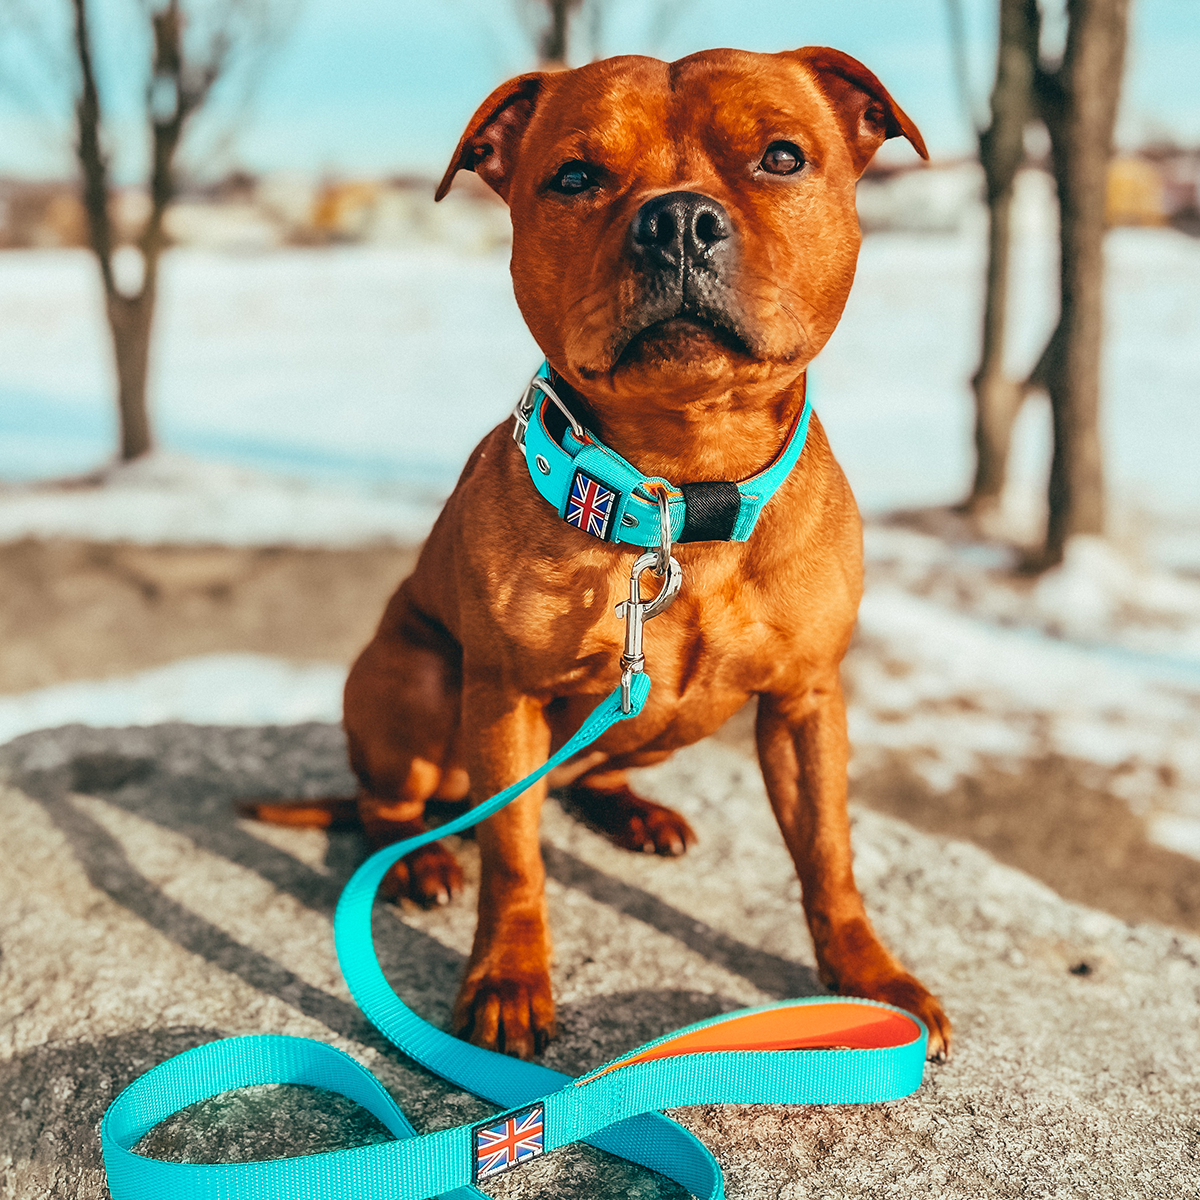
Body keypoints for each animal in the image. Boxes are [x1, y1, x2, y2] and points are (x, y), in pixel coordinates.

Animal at [248, 46, 950, 1060]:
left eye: (782, 157)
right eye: (575, 177)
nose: (678, 220)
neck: (681, 494)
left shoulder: (805, 700)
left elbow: (828, 851)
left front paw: (870, 977)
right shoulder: (504, 697)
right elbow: (512, 857)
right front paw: (508, 977)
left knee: (595, 766)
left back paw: (630, 808)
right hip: (410, 682)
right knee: (393, 808)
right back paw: (418, 861)